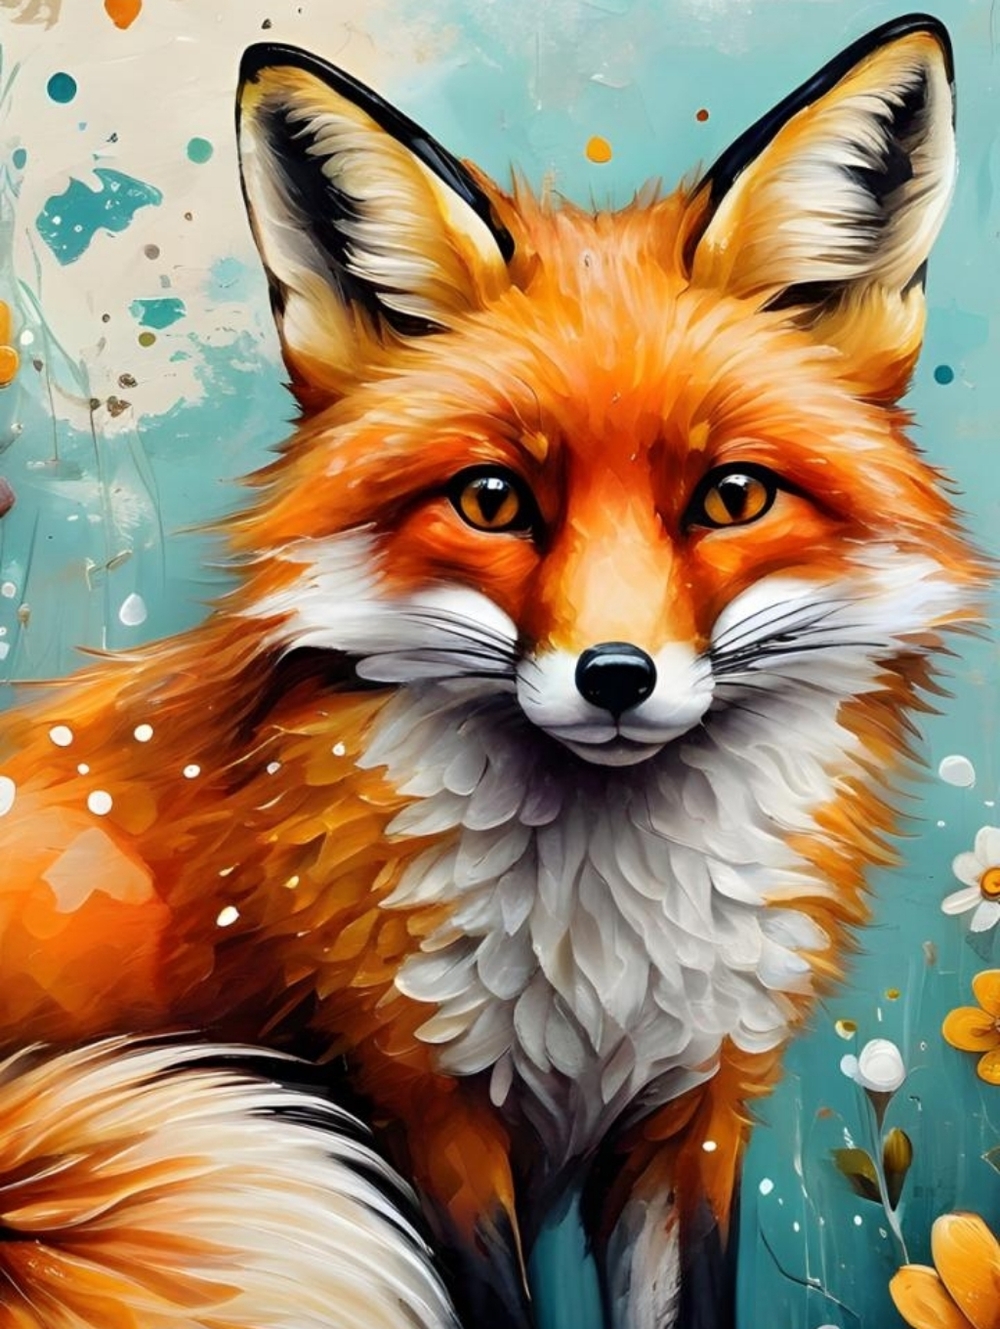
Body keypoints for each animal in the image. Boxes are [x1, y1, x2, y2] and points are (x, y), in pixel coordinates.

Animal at [0, 12, 982, 1329]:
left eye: (731, 497)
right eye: (492, 500)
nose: (615, 677)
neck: (606, 944)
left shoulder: (691, 1113)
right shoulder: (427, 1108)